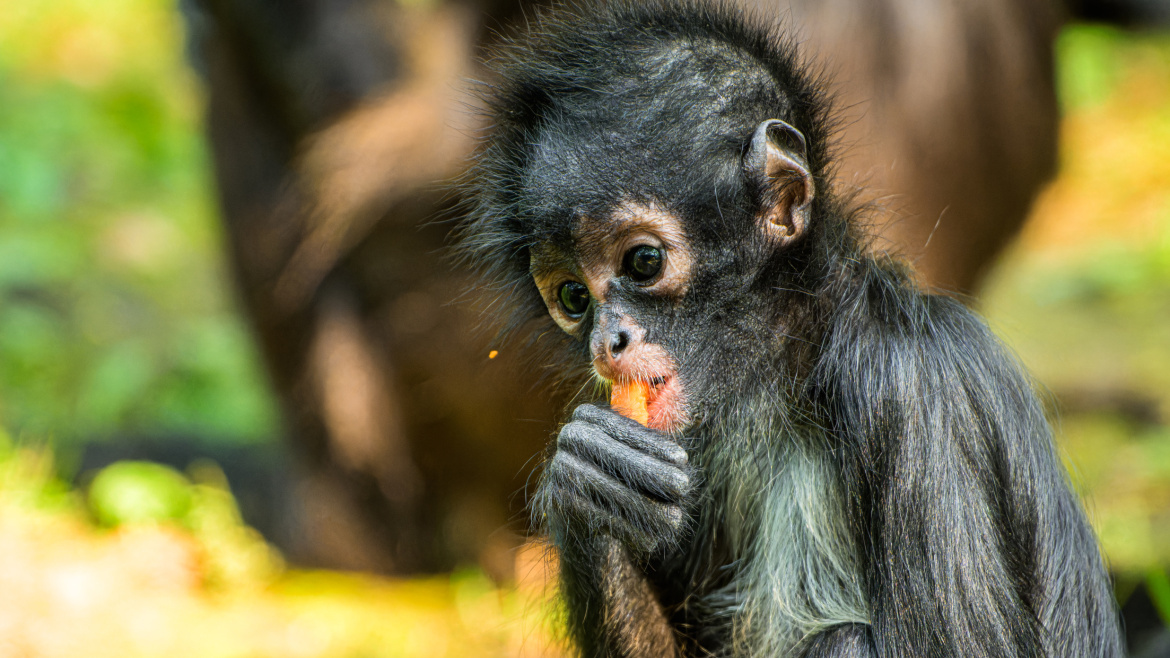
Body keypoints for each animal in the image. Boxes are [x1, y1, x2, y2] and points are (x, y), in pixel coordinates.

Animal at [456, 2, 1123, 650]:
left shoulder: (914, 386)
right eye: (574, 297)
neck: (793, 379)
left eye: (643, 262)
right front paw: (588, 487)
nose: (606, 343)